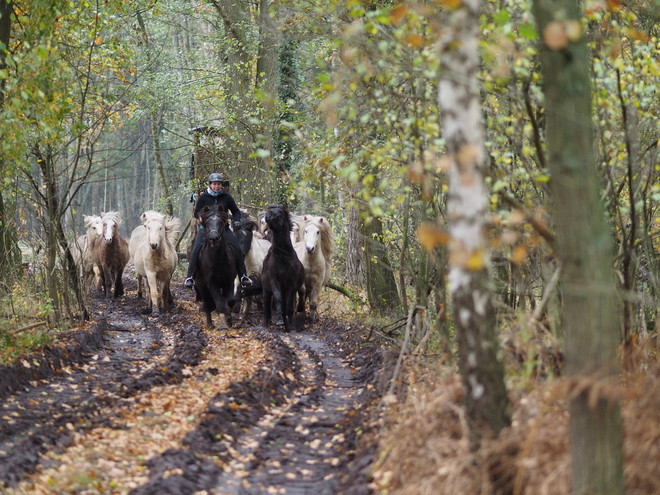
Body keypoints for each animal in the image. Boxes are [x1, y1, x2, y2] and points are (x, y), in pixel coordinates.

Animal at [195, 203, 238, 332]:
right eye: (207, 223)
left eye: (220, 222)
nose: (214, 238)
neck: (218, 260)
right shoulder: (211, 283)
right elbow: (219, 304)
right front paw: (223, 325)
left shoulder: (229, 281)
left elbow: (230, 301)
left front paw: (229, 320)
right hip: (201, 285)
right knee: (207, 304)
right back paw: (210, 324)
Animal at [262, 203, 306, 336]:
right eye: (270, 210)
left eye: (280, 212)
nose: (268, 215)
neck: (282, 255)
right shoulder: (274, 280)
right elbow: (278, 299)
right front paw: (279, 320)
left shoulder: (291, 283)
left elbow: (290, 307)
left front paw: (291, 327)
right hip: (266, 291)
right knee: (266, 307)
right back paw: (265, 325)